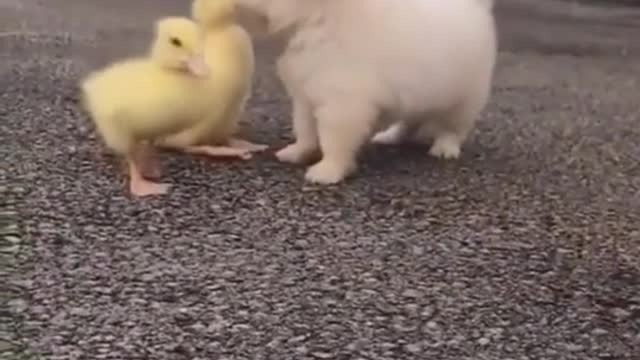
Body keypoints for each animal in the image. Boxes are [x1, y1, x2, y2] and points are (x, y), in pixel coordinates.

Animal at [235, 0, 500, 184]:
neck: (317, 19)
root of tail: (475, 8)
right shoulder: (305, 96)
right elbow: (305, 129)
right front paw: (297, 152)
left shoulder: (343, 104)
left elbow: (333, 139)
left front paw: (328, 170)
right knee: (410, 120)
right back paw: (391, 136)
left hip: (465, 96)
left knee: (452, 126)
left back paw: (445, 148)